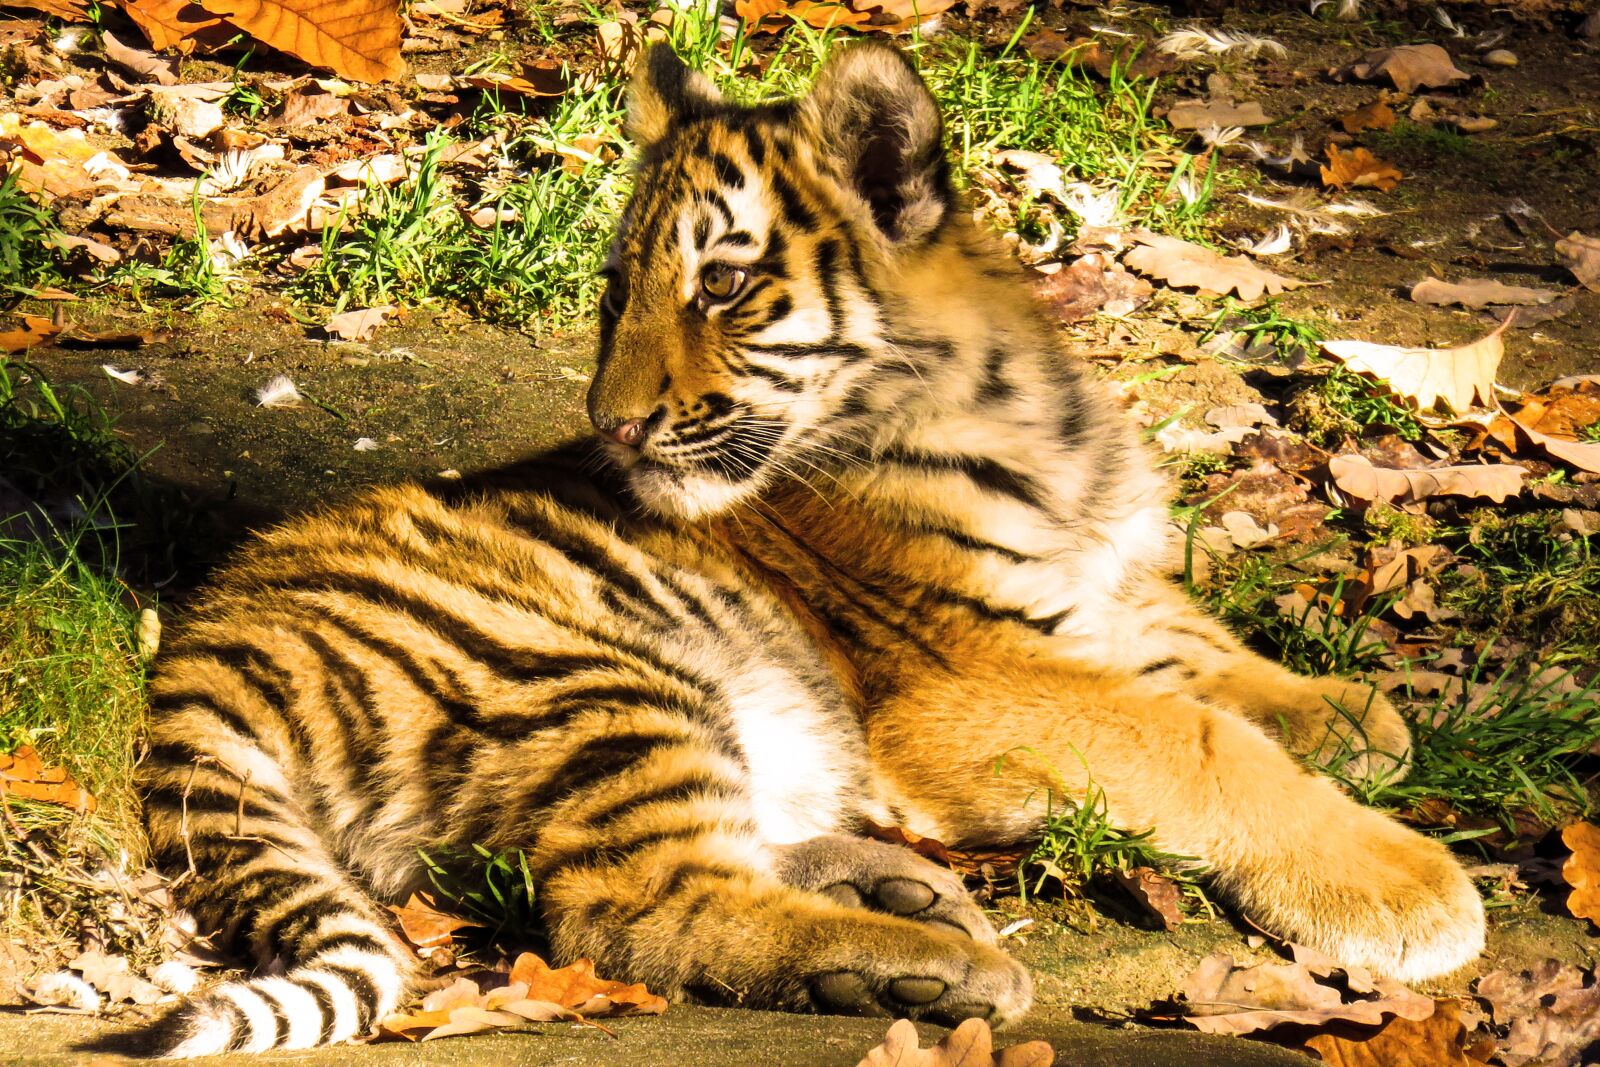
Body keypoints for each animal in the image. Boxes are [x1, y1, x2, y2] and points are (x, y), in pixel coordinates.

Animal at [115, 41, 1484, 1057]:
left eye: (720, 285)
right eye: (615, 291)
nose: (611, 423)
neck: (1024, 417)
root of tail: (204, 640)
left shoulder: (1099, 586)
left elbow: (1207, 649)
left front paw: (1350, 713)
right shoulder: (962, 680)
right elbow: (1193, 738)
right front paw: (1403, 884)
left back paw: (899, 889)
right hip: (597, 677)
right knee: (630, 905)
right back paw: (926, 966)